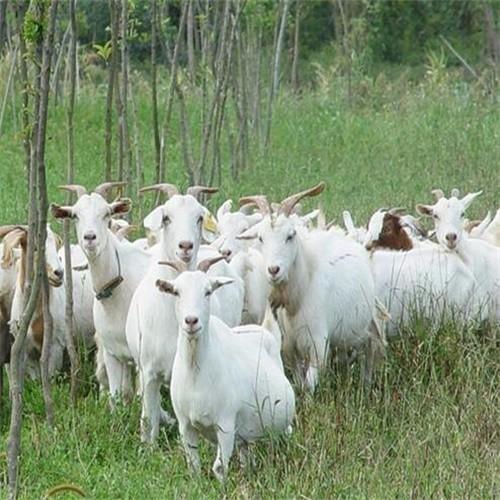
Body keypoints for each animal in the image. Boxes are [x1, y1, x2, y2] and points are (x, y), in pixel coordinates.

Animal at [52, 183, 152, 398]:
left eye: (107, 214)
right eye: (75, 215)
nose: (90, 237)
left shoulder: (143, 357)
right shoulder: (111, 351)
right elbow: (117, 396)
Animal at [156, 268, 294, 482]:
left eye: (208, 292)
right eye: (176, 292)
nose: (191, 321)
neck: (195, 370)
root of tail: (266, 331)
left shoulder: (225, 424)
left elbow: (219, 468)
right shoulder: (185, 425)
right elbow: (193, 466)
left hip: (281, 418)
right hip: (246, 431)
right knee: (246, 452)